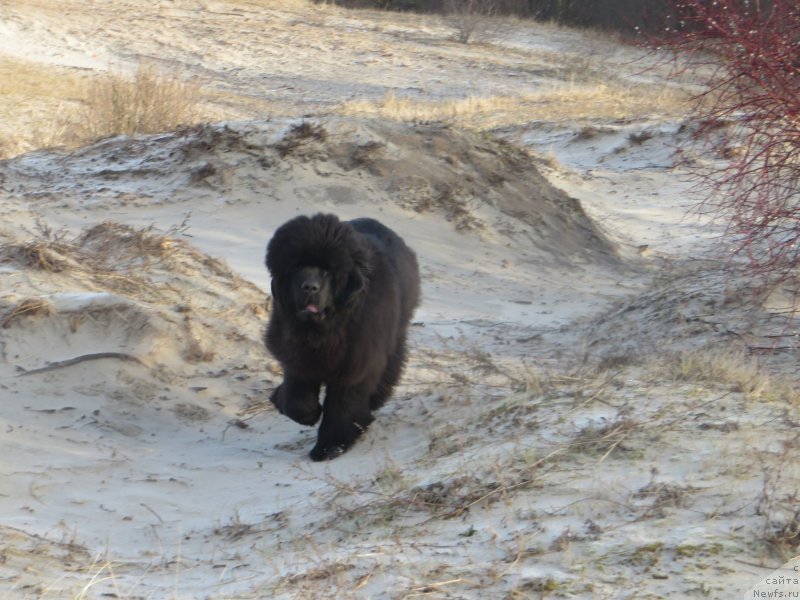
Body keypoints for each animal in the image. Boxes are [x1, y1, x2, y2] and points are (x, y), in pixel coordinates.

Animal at [266, 213, 422, 462]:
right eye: (297, 266)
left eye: (328, 270)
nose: (309, 287)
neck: (326, 328)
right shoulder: (298, 354)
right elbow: (296, 399)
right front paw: (305, 412)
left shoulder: (357, 364)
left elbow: (343, 407)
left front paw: (330, 447)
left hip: (394, 336)